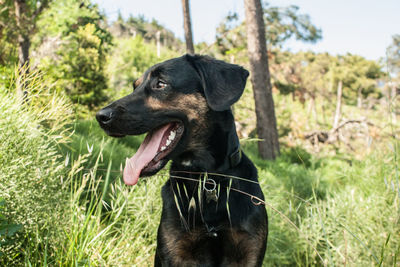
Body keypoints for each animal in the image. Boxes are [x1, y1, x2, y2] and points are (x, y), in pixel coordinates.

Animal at [95, 55, 268, 267]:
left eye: (161, 84)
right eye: (134, 86)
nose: (101, 116)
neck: (207, 181)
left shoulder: (248, 252)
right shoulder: (176, 250)